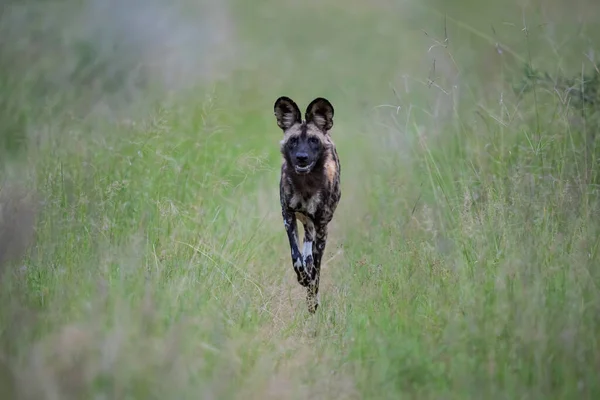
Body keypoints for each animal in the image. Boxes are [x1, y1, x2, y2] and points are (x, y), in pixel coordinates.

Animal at [274, 96, 340, 312]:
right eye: (293, 140)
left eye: (313, 140)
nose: (302, 157)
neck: (306, 184)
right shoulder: (288, 216)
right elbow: (296, 255)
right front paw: (302, 276)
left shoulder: (322, 227)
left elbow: (317, 272)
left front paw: (312, 301)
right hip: (305, 222)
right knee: (305, 246)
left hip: (316, 227)